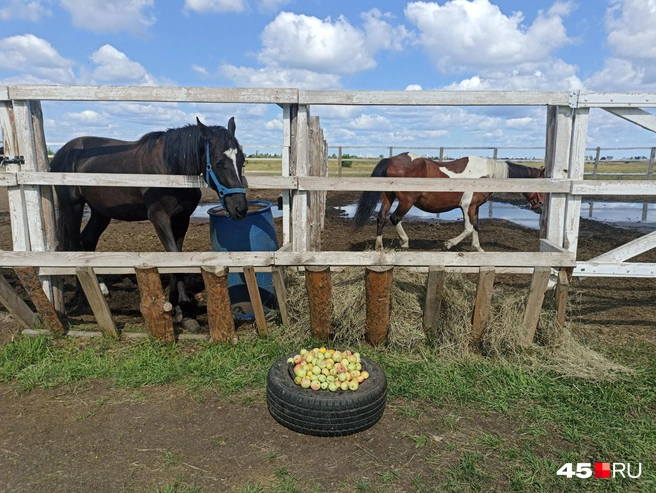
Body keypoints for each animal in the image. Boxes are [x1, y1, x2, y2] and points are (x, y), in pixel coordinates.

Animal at [50, 117, 248, 332]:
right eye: (219, 162)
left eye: (242, 160)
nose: (240, 208)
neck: (170, 172)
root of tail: (62, 153)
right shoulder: (159, 218)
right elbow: (175, 259)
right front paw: (186, 312)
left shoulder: (181, 219)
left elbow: (176, 258)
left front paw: (177, 309)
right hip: (73, 206)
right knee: (74, 246)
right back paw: (83, 298)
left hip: (100, 211)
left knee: (87, 240)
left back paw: (100, 289)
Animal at [354, 153, 544, 252]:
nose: (540, 206)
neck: (484, 175)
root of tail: (392, 159)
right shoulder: (467, 206)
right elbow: (468, 228)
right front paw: (448, 244)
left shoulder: (474, 207)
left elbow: (476, 226)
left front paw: (478, 248)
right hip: (406, 201)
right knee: (395, 218)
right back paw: (405, 242)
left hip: (388, 197)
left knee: (381, 218)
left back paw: (379, 246)